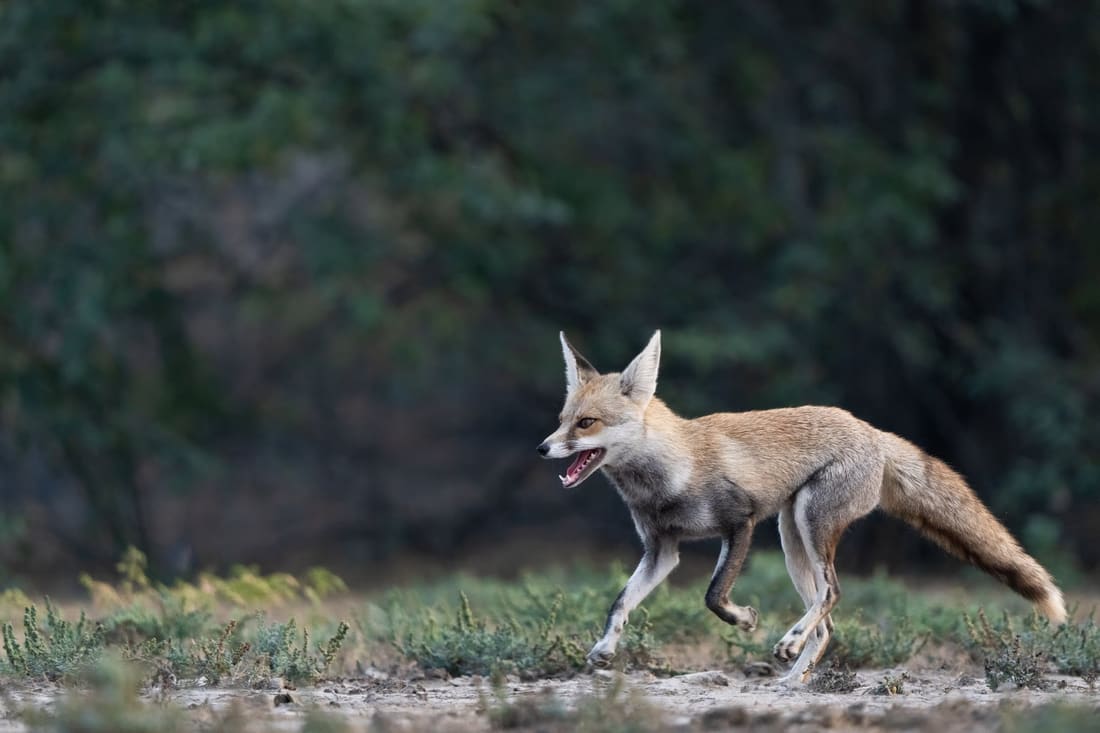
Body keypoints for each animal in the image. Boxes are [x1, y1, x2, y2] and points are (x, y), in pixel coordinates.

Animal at [536, 330, 1067, 684]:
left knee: (831, 596)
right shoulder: (661, 550)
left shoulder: (741, 523)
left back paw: (790, 647)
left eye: (586, 423)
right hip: (793, 540)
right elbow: (620, 603)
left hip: (810, 526)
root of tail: (870, 429)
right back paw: (794, 683)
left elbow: (713, 595)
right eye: (561, 419)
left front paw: (745, 620)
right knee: (826, 622)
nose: (542, 449)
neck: (668, 478)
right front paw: (605, 648)